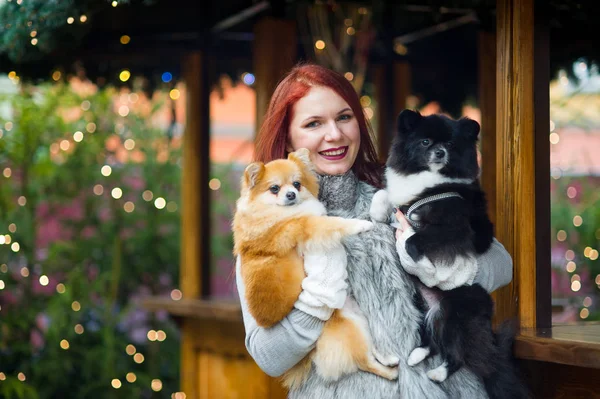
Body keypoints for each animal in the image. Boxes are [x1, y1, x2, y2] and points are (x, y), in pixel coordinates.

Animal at [233, 148, 398, 390]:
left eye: (297, 184)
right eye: (274, 189)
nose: (291, 194)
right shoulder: (309, 225)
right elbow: (336, 223)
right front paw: (361, 224)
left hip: (356, 319)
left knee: (369, 350)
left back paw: (389, 358)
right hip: (350, 329)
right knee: (364, 360)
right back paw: (391, 373)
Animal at [370, 109, 524, 399]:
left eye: (451, 145)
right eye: (425, 142)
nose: (440, 152)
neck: (430, 183)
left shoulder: (454, 227)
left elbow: (414, 240)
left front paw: (427, 267)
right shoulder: (403, 203)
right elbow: (385, 194)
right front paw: (376, 211)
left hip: (455, 314)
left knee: (458, 355)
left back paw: (437, 373)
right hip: (422, 306)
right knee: (432, 339)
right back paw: (417, 355)